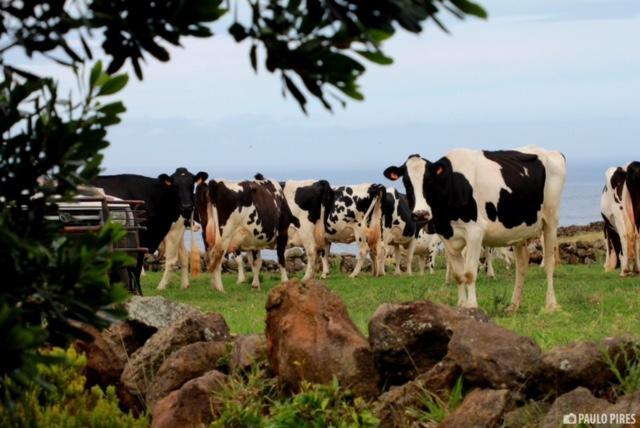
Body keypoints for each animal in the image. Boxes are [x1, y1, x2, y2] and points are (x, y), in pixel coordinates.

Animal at [384, 147, 564, 310]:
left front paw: (472, 306)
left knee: (549, 263)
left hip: (550, 220)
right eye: (406, 182)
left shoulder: (475, 233)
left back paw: (551, 305)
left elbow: (469, 273)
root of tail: (552, 152)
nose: (421, 214)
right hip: (519, 231)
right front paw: (461, 306)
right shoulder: (447, 237)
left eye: (429, 180)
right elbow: (459, 275)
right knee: (521, 265)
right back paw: (513, 306)